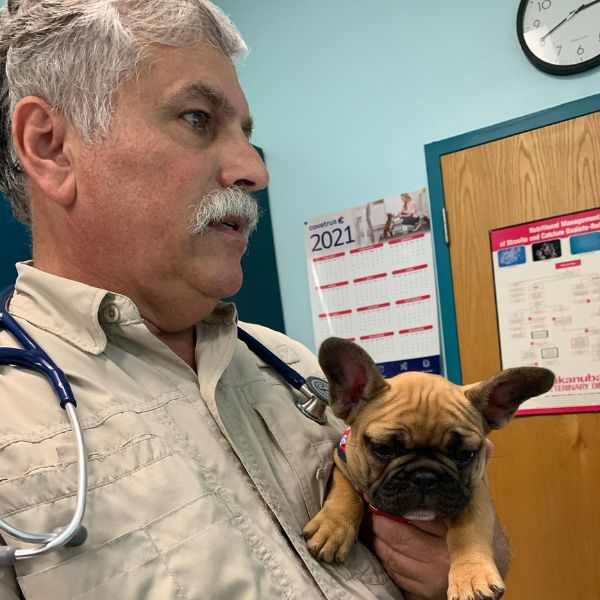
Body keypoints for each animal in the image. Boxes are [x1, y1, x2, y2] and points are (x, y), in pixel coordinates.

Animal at [308, 338, 556, 600]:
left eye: (464, 455)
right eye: (383, 448)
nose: (425, 476)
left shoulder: (475, 492)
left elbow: (469, 529)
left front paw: (472, 575)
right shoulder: (342, 462)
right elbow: (346, 495)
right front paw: (333, 527)